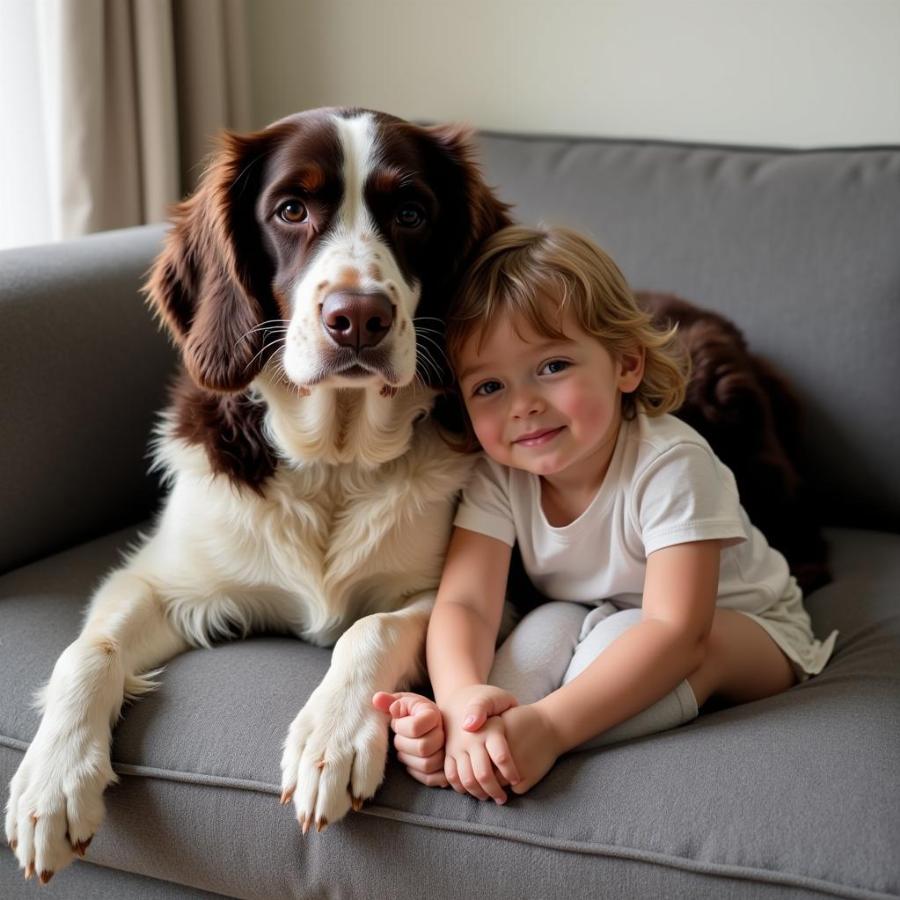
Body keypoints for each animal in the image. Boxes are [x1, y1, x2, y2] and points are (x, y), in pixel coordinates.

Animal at [5, 109, 512, 884]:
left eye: (412, 212)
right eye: (291, 210)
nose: (357, 317)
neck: (332, 462)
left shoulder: (476, 592)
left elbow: (372, 627)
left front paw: (331, 738)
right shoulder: (163, 581)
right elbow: (88, 649)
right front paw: (53, 779)